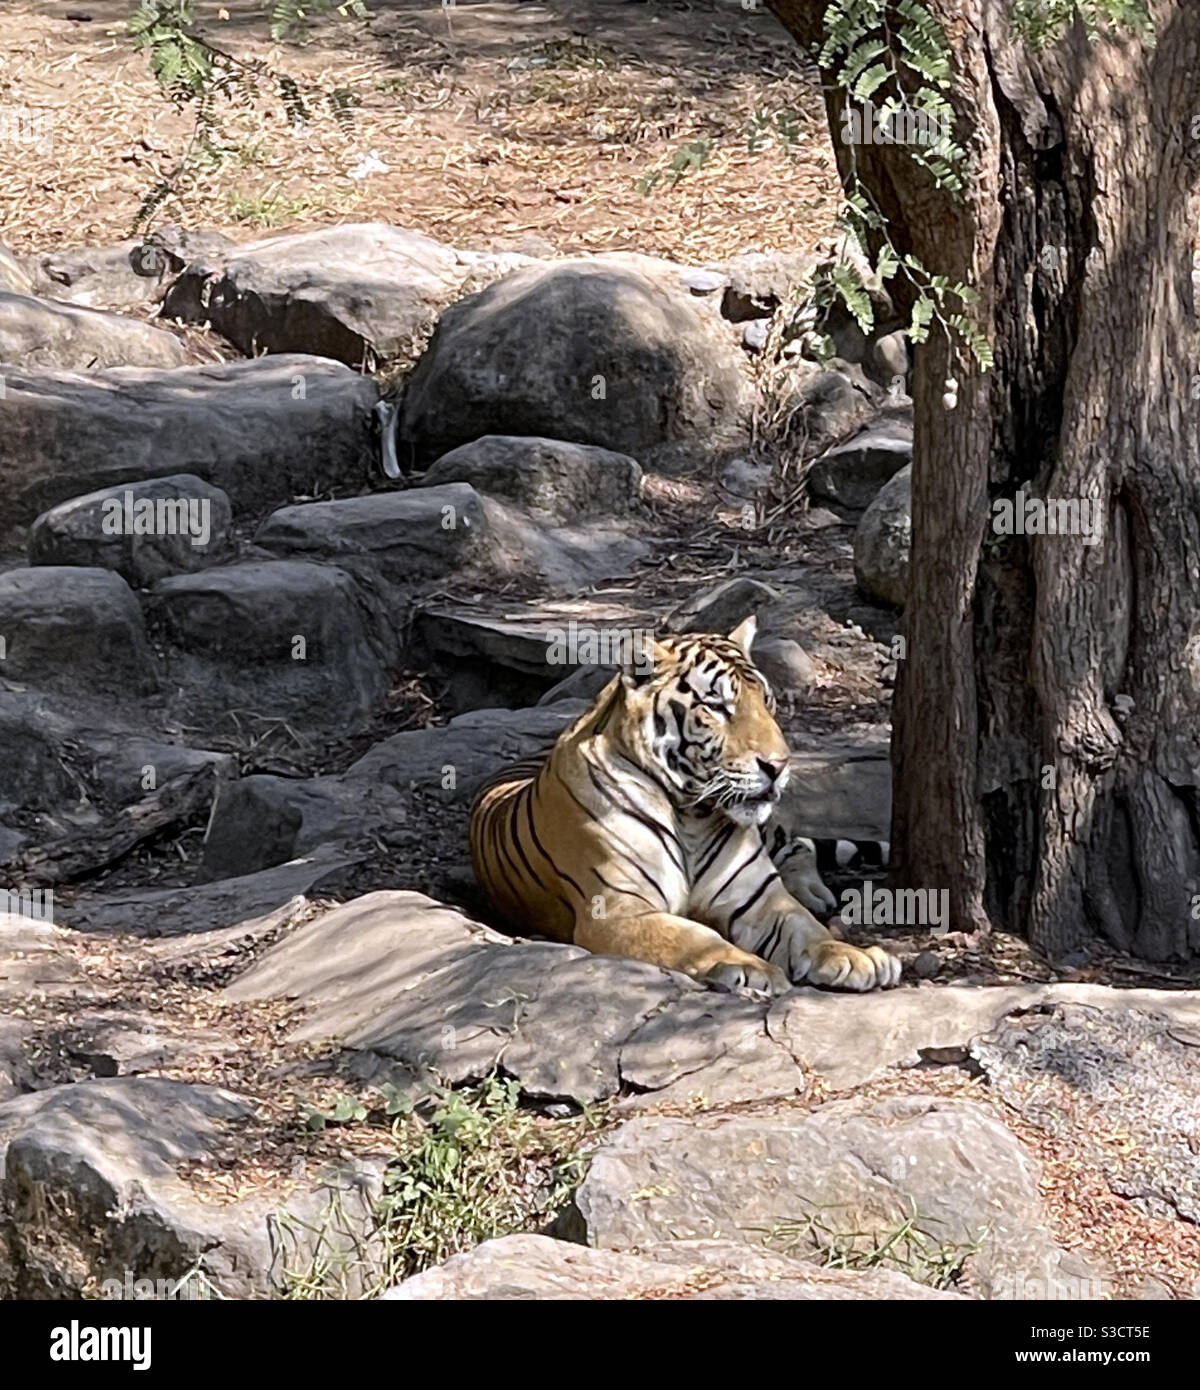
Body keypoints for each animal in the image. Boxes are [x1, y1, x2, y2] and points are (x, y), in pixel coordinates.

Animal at [469, 614, 901, 995]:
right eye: (717, 707)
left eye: (767, 701)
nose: (779, 765)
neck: (692, 815)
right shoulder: (618, 910)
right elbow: (696, 938)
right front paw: (753, 968)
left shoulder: (760, 898)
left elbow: (806, 927)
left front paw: (854, 956)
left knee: (796, 846)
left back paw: (813, 893)